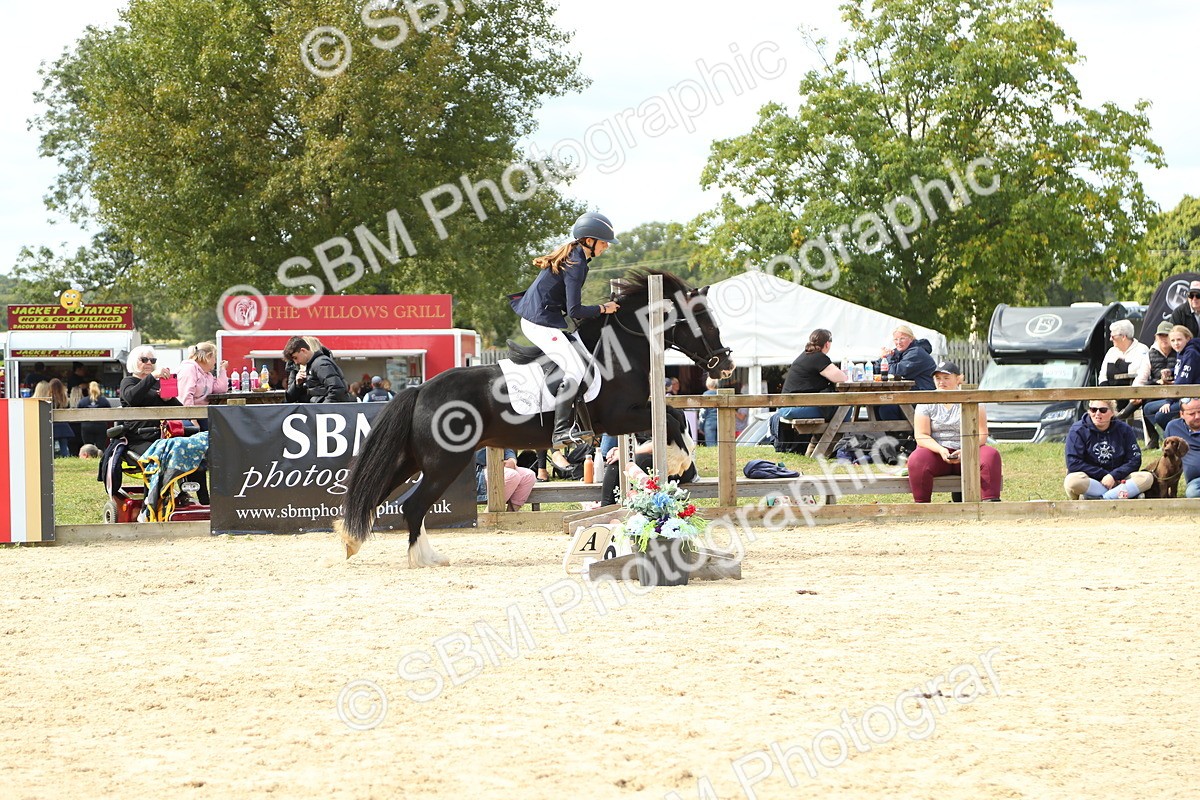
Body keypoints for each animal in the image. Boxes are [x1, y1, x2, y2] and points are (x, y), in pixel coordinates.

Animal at [335, 269, 735, 566]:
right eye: (700, 319)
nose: (726, 365)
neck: (618, 348)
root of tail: (420, 390)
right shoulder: (620, 417)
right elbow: (670, 418)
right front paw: (680, 461)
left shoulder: (631, 414)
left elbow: (674, 413)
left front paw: (680, 461)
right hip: (445, 462)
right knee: (413, 505)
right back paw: (425, 558)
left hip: (413, 460)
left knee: (379, 493)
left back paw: (352, 541)